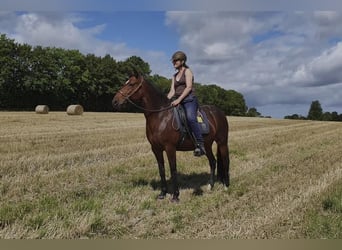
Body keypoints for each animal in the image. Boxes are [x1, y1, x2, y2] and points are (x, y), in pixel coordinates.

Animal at [112, 73, 230, 201]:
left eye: (131, 84)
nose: (114, 101)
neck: (160, 115)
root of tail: (219, 112)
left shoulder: (170, 148)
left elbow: (173, 169)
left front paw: (175, 195)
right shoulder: (156, 149)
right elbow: (162, 170)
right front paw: (163, 193)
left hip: (222, 142)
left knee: (225, 161)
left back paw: (226, 186)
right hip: (207, 145)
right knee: (213, 162)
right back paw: (210, 186)